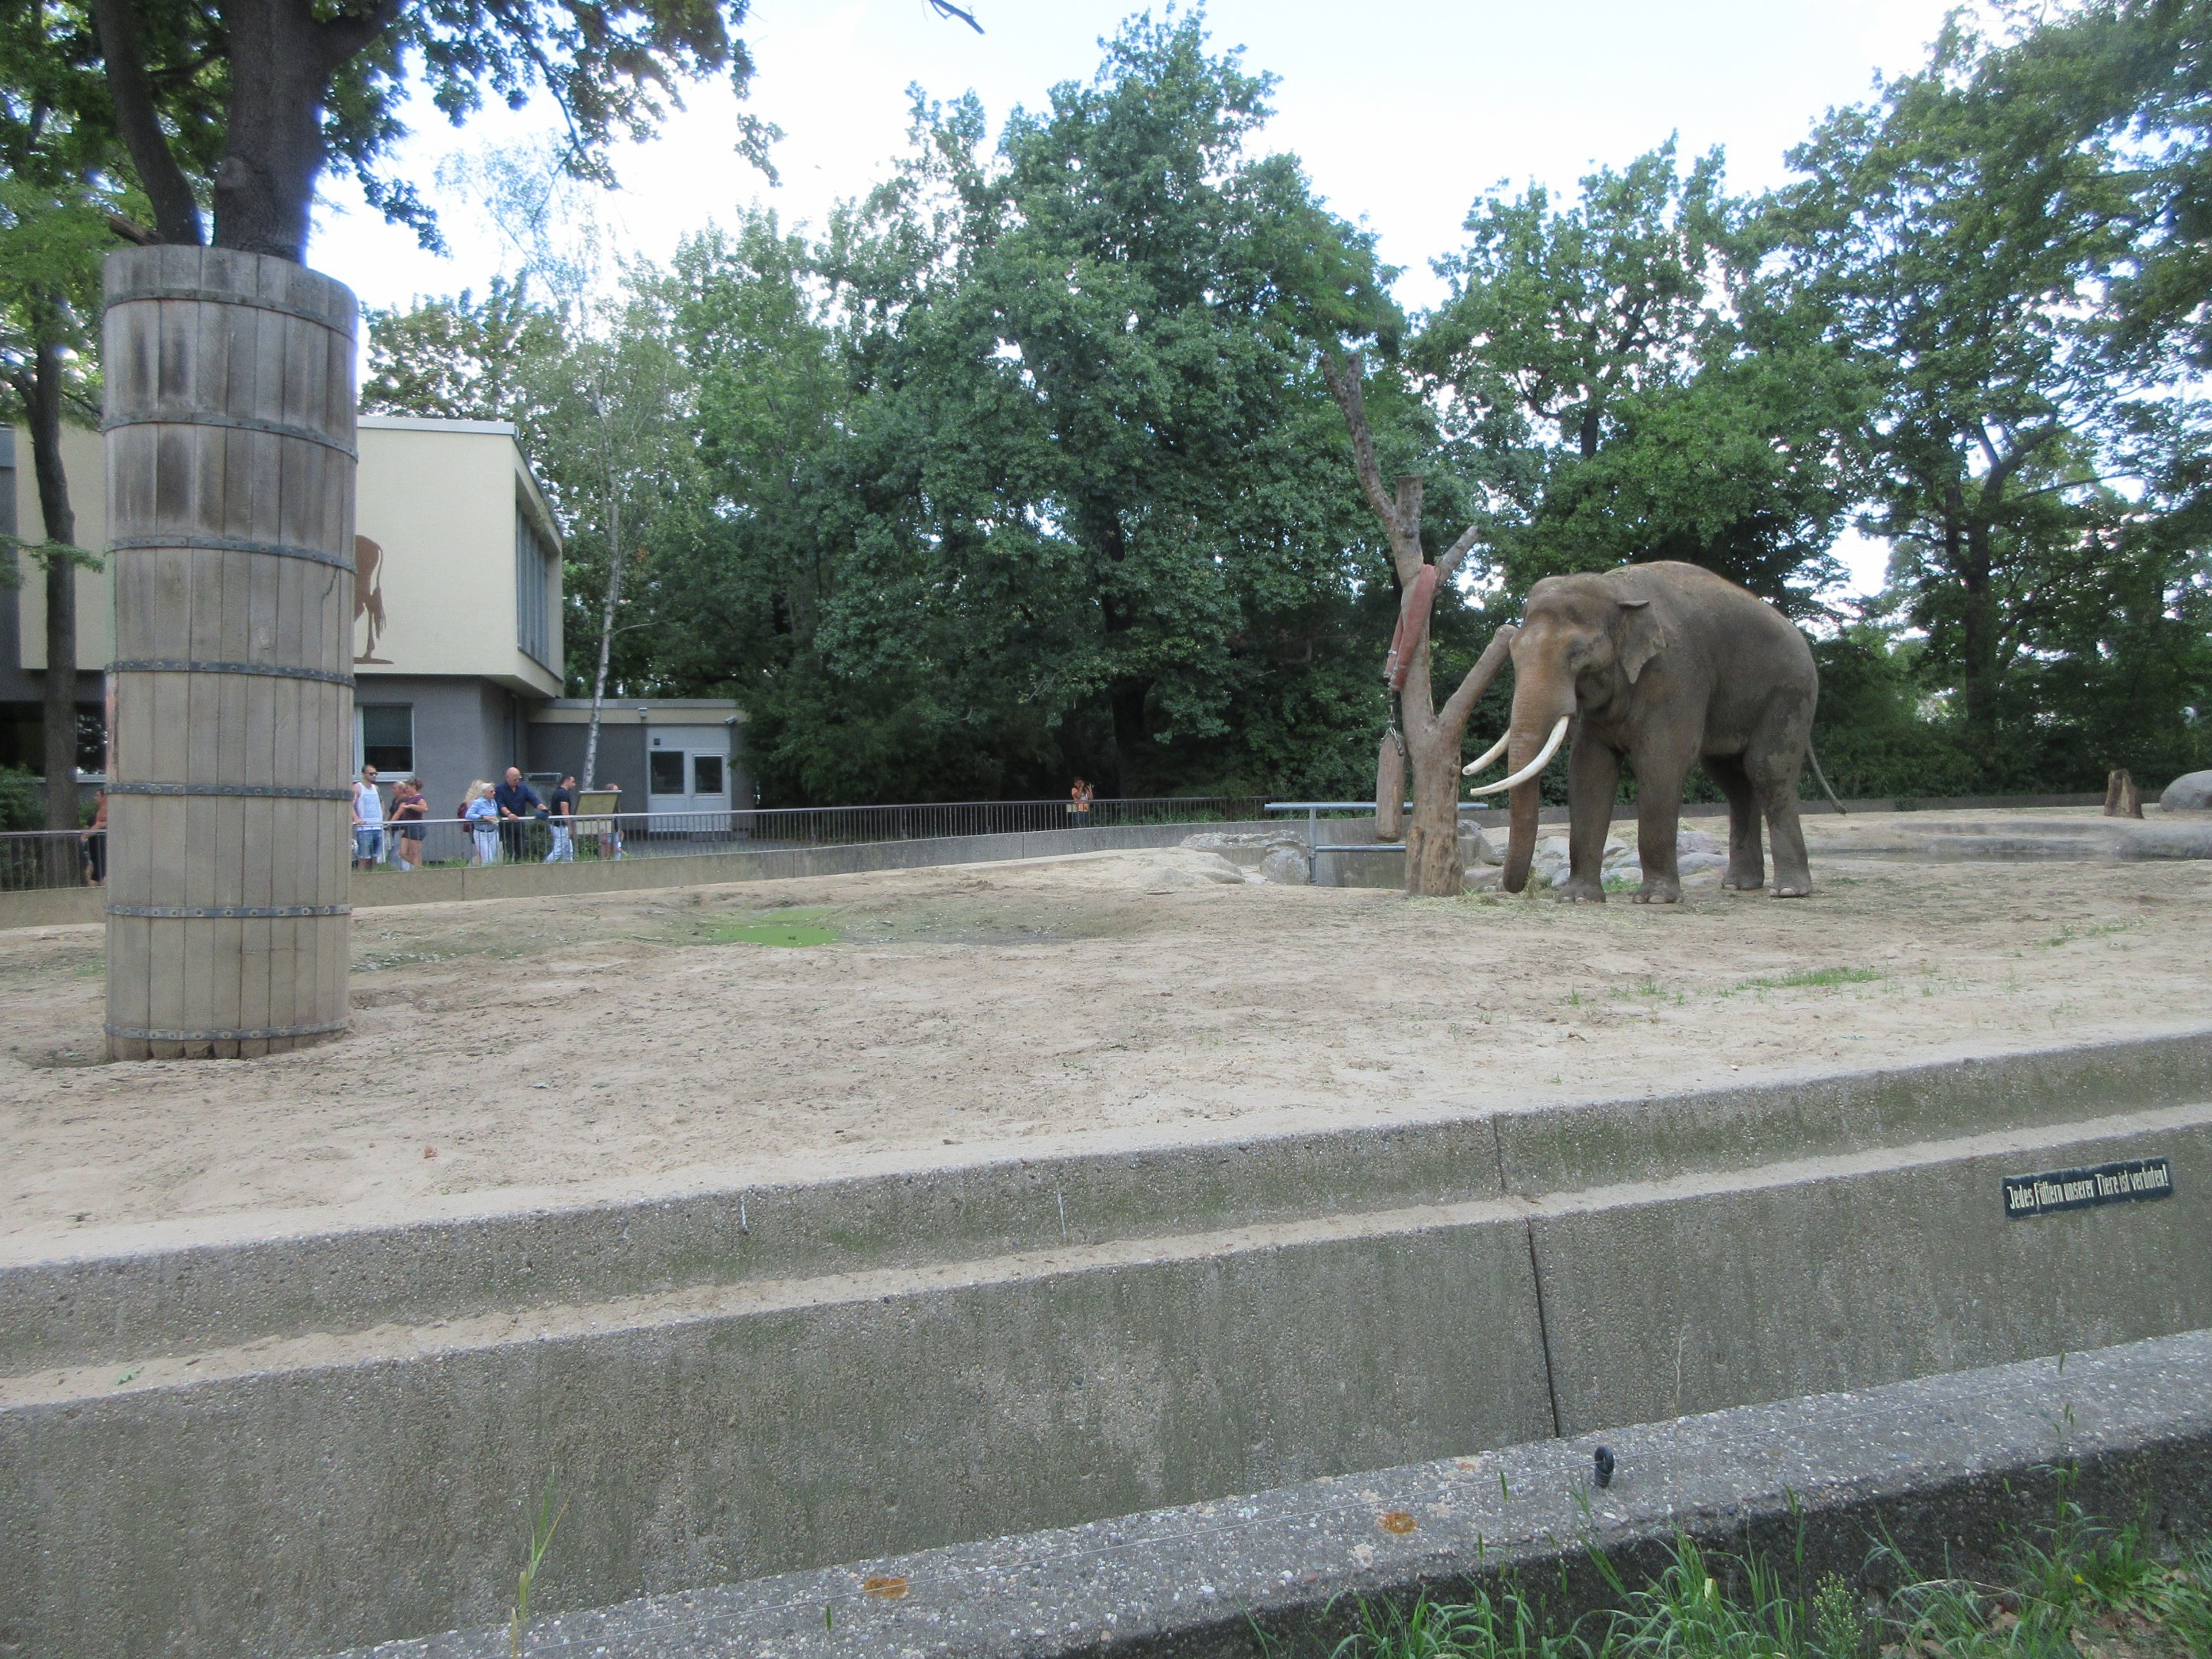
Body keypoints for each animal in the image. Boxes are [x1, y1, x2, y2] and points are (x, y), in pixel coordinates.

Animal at [1463, 561, 1819, 903]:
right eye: (1513, 652)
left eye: (1577, 654)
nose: (1513, 886)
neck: (1617, 590)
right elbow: (1589, 769)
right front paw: (1578, 899)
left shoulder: (1675, 672)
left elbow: (1661, 761)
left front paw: (1655, 899)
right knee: (1732, 781)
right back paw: (1739, 885)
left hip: (1791, 692)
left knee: (1767, 770)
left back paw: (1789, 891)